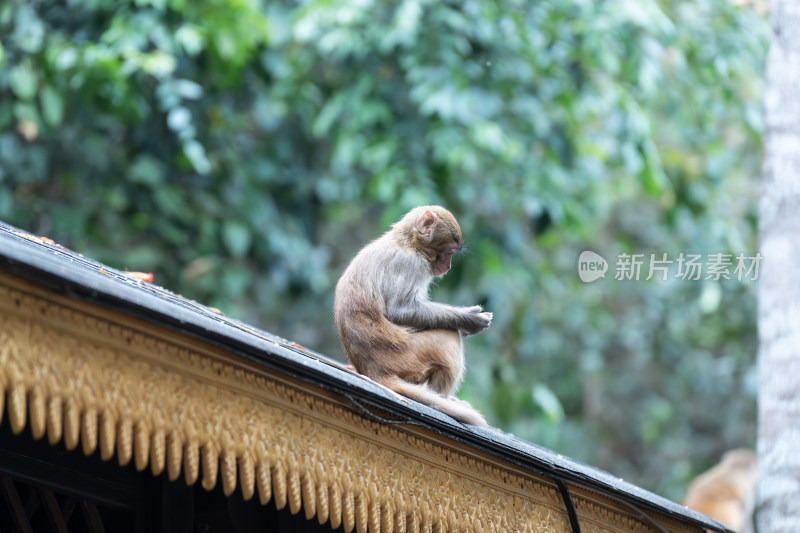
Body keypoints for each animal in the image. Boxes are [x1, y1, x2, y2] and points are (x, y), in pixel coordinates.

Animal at [332, 206, 494, 426]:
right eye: (450, 251)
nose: (448, 266)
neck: (407, 242)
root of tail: (373, 370)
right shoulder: (409, 263)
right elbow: (400, 310)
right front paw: (467, 319)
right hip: (407, 358)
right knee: (448, 338)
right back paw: (441, 398)